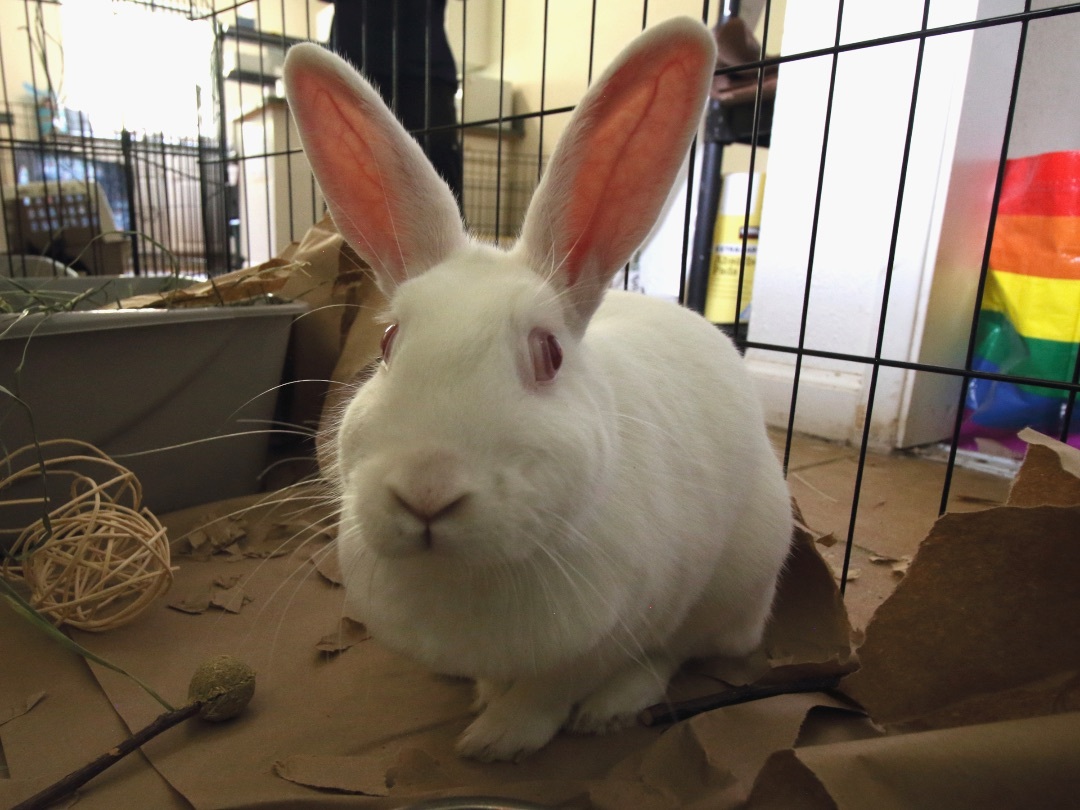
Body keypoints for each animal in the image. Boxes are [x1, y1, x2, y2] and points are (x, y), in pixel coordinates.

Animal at [283, 16, 794, 763]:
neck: (469, 575)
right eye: (387, 345)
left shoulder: (605, 634)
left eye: (548, 354)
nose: (426, 492)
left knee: (677, 652)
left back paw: (614, 708)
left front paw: (495, 739)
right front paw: (485, 697)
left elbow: (553, 690)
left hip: (734, 584)